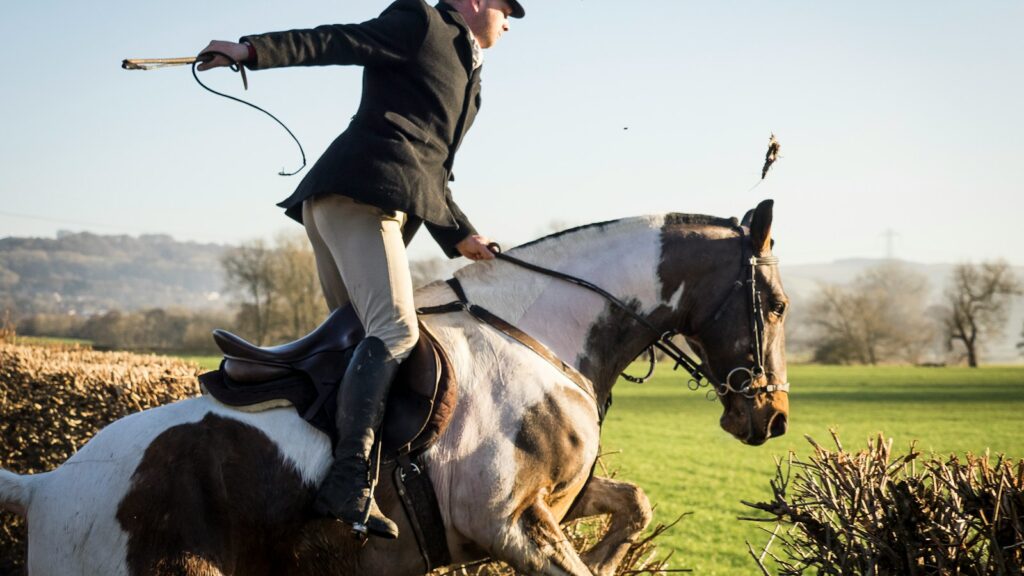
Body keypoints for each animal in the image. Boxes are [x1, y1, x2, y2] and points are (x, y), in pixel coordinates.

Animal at [0, 200, 790, 576]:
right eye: (778, 305)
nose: (774, 417)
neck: (539, 331)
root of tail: (47, 486)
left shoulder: (559, 498)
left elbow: (635, 503)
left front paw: (608, 554)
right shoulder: (509, 522)